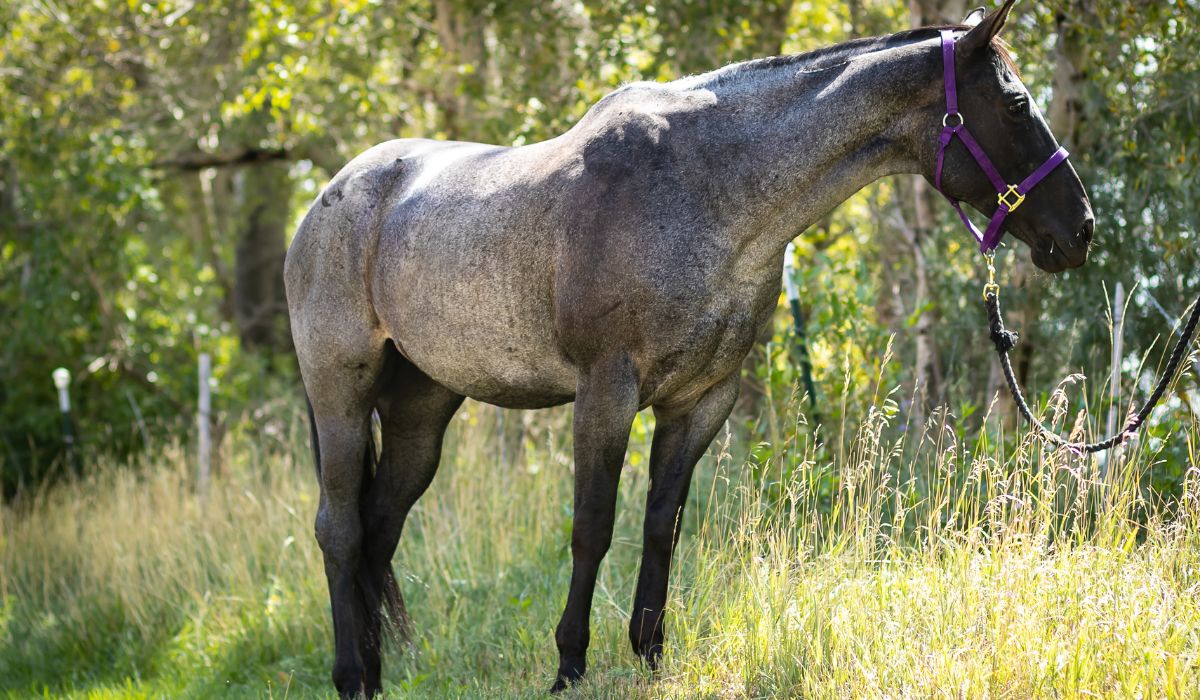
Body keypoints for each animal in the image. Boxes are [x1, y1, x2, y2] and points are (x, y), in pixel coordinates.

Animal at [285, 2, 1094, 696]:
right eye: (1015, 104)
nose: (1081, 229)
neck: (705, 190)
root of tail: (332, 197)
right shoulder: (606, 392)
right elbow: (591, 528)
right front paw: (569, 665)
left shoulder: (703, 399)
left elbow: (661, 526)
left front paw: (648, 654)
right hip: (340, 394)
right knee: (339, 529)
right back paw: (351, 676)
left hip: (422, 408)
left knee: (379, 530)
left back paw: (376, 673)